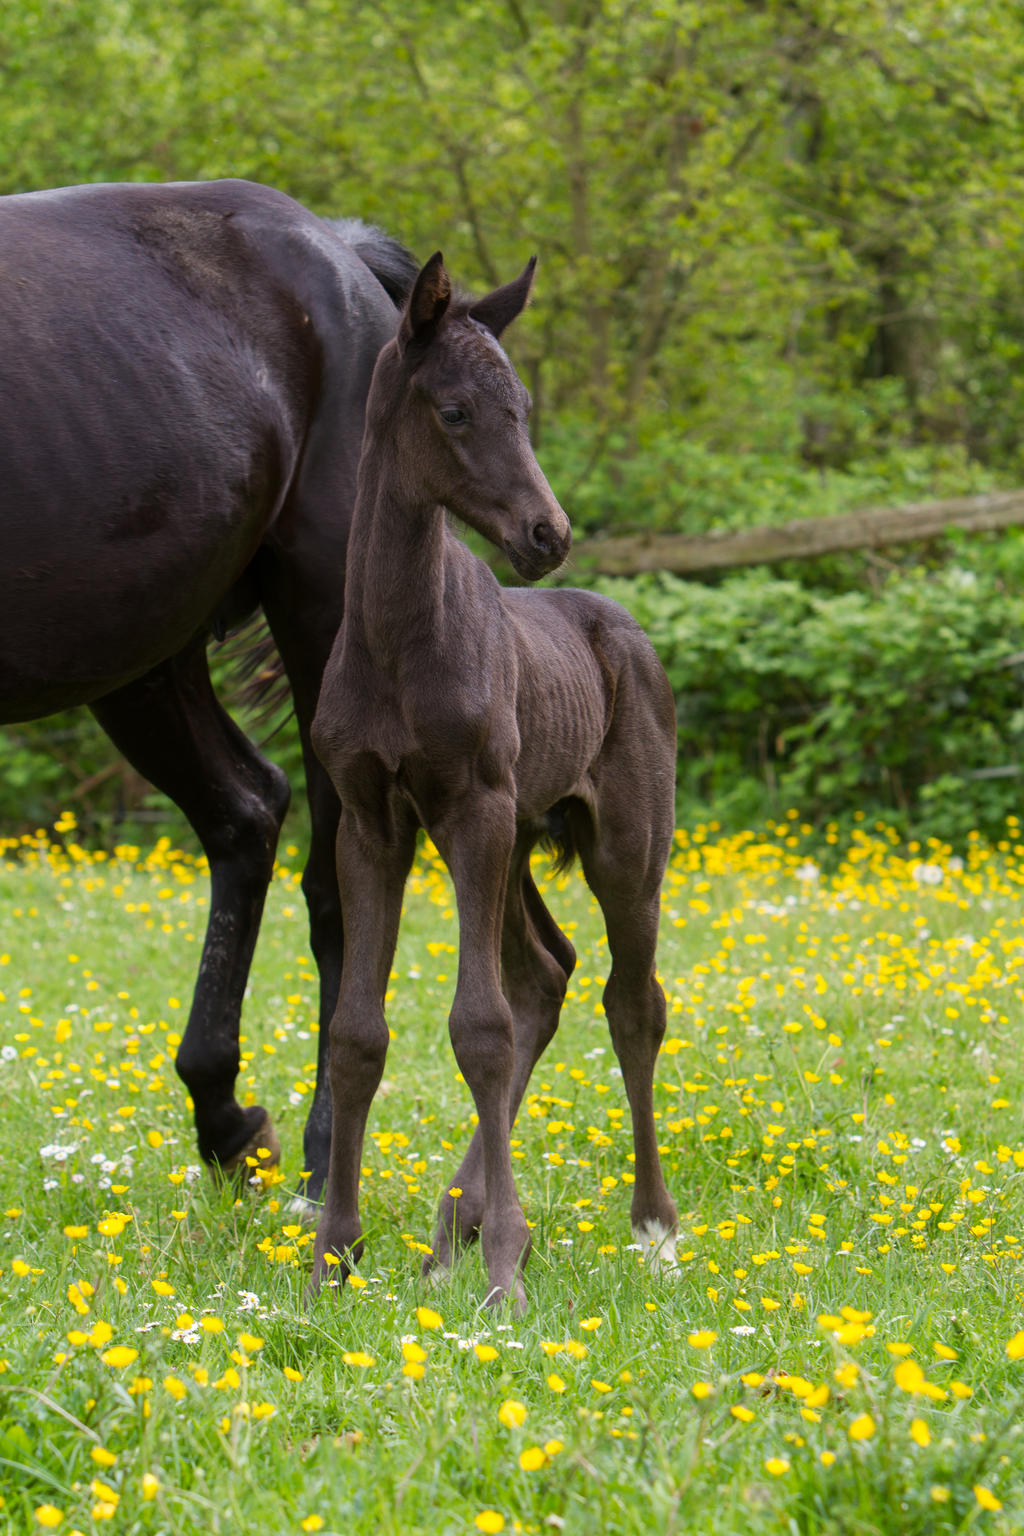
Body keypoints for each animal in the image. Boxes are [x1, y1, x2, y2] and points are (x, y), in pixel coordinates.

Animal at [1, 176, 417, 1198]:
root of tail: (334, 247)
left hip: (321, 625)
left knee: (335, 885)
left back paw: (320, 1164)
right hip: (142, 655)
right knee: (246, 811)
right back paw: (227, 1118)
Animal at [313, 251, 681, 1308]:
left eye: (522, 405)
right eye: (456, 410)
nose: (547, 531)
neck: (398, 641)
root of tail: (623, 629)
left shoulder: (471, 808)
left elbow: (477, 1027)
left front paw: (508, 1272)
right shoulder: (371, 822)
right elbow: (358, 1034)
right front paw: (333, 1257)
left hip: (621, 848)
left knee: (630, 1002)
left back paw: (650, 1226)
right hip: (517, 840)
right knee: (545, 975)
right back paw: (451, 1230)